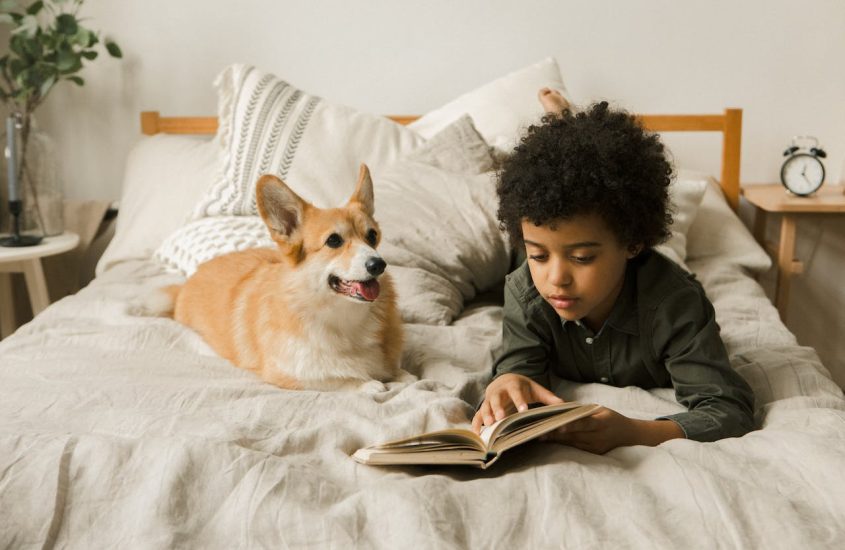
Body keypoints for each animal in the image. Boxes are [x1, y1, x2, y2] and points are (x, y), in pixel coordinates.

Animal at [162, 165, 408, 392]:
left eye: (372, 236)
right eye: (334, 241)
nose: (378, 264)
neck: (344, 317)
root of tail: (187, 283)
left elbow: (403, 374)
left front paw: (399, 376)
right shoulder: (289, 375)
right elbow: (338, 380)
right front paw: (369, 384)